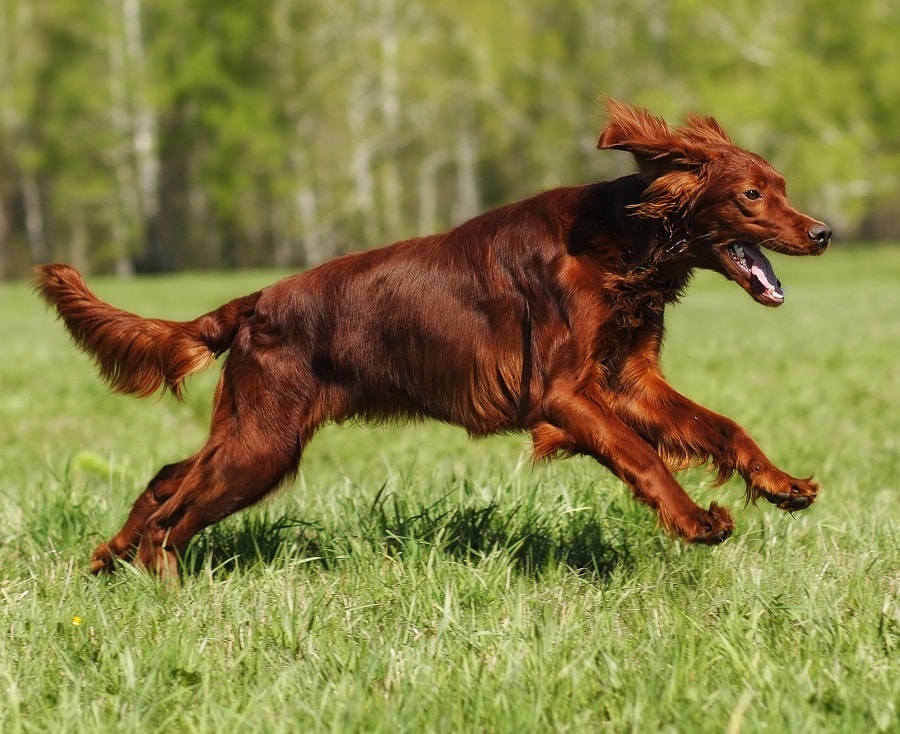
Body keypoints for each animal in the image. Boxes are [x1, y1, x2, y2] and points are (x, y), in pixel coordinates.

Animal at [37, 99, 836, 580]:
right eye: (751, 195)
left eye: (783, 186)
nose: (824, 232)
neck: (621, 242)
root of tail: (256, 301)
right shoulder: (562, 393)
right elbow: (640, 455)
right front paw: (695, 522)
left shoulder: (629, 380)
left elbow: (721, 428)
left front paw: (782, 484)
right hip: (263, 443)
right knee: (173, 516)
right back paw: (163, 589)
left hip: (249, 430)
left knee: (166, 480)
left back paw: (107, 560)